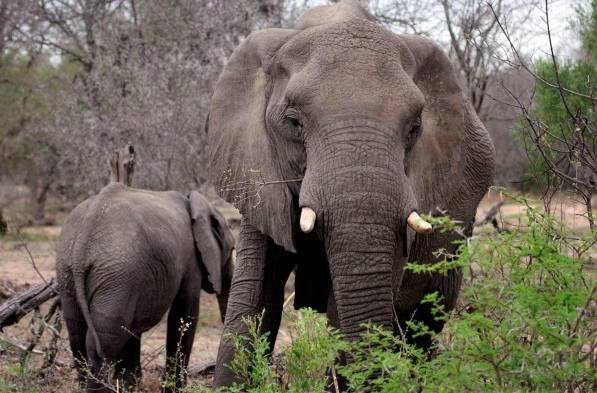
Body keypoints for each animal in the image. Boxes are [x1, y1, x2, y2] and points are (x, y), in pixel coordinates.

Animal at [55, 185, 233, 392]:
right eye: (232, 250)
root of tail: (83, 242)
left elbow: (135, 325)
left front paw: (130, 385)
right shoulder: (191, 260)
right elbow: (184, 315)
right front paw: (173, 389)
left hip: (69, 272)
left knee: (78, 332)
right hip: (117, 275)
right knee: (103, 338)